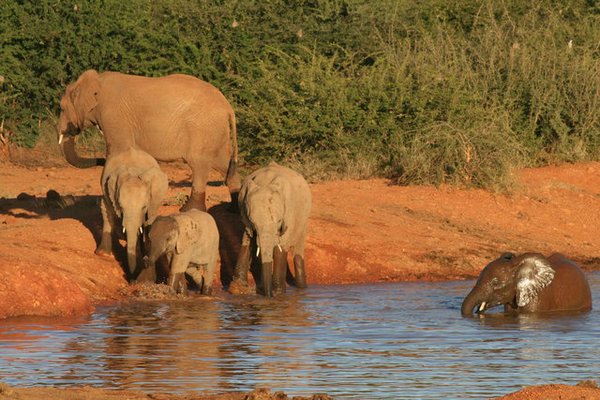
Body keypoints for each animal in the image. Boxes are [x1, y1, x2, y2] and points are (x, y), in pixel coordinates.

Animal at [56, 69, 241, 212]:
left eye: (62, 108)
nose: (100, 160)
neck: (96, 80)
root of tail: (228, 107)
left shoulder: (112, 115)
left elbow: (117, 152)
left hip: (202, 129)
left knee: (199, 165)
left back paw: (189, 210)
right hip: (216, 131)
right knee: (224, 164)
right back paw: (233, 209)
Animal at [232, 161, 312, 296]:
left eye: (279, 221)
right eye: (253, 222)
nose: (267, 294)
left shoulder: (289, 211)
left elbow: (281, 247)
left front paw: (278, 293)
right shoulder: (243, 211)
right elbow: (247, 239)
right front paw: (237, 289)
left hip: (304, 217)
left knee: (298, 247)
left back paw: (301, 288)